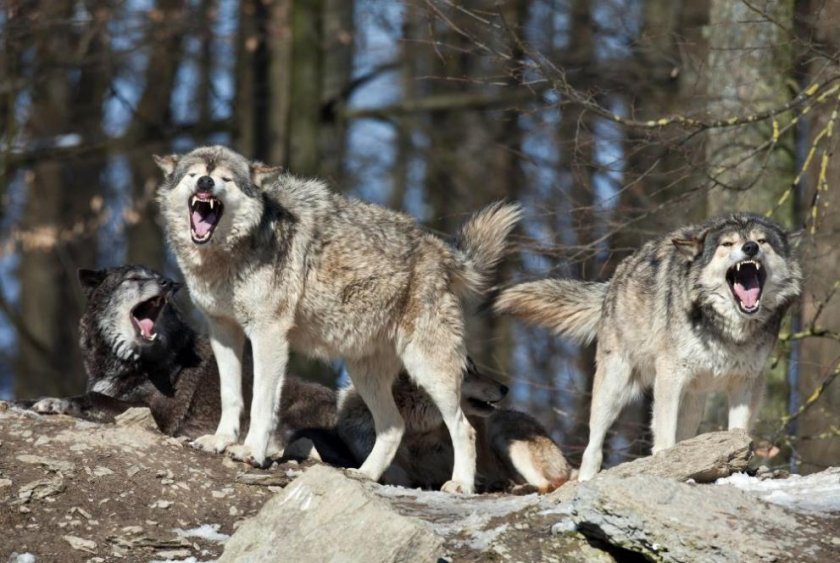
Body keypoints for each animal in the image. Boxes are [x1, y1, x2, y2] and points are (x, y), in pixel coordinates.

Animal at [17, 268, 352, 468]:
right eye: (134, 278)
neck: (130, 361)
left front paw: (57, 402)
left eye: (156, 276)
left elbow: (95, 398)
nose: (169, 283)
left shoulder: (155, 416)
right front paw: (34, 401)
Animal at [153, 144, 520, 494]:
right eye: (194, 174)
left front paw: (250, 451)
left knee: (464, 429)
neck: (227, 255)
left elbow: (261, 402)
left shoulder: (268, 334)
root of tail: (441, 249)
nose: (205, 183)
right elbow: (231, 395)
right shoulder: (223, 331)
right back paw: (365, 475)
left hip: (429, 371)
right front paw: (220, 441)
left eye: (225, 179)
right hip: (364, 373)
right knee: (394, 426)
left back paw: (460, 485)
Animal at [334, 362, 572, 494]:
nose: (505, 388)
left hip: (504, 437)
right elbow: (394, 473)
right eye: (467, 371)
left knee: (546, 485)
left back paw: (515, 488)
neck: (414, 429)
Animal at [496, 214, 804, 482]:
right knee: (593, 444)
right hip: (614, 388)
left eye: (762, 241)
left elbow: (739, 431)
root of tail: (613, 280)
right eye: (727, 244)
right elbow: (664, 433)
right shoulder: (670, 375)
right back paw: (586, 479)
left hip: (694, 401)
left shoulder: (748, 382)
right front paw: (666, 465)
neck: (728, 329)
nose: (750, 247)